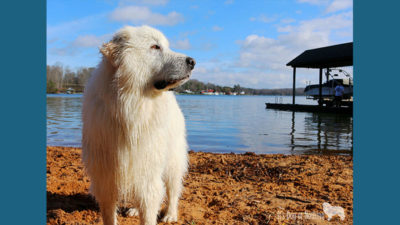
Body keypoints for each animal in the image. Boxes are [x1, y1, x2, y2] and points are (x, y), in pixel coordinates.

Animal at [82, 25, 195, 225]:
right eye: (155, 47)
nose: (193, 61)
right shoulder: (105, 178)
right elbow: (109, 215)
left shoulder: (148, 173)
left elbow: (149, 211)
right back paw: (135, 210)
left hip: (173, 159)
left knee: (173, 189)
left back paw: (170, 214)